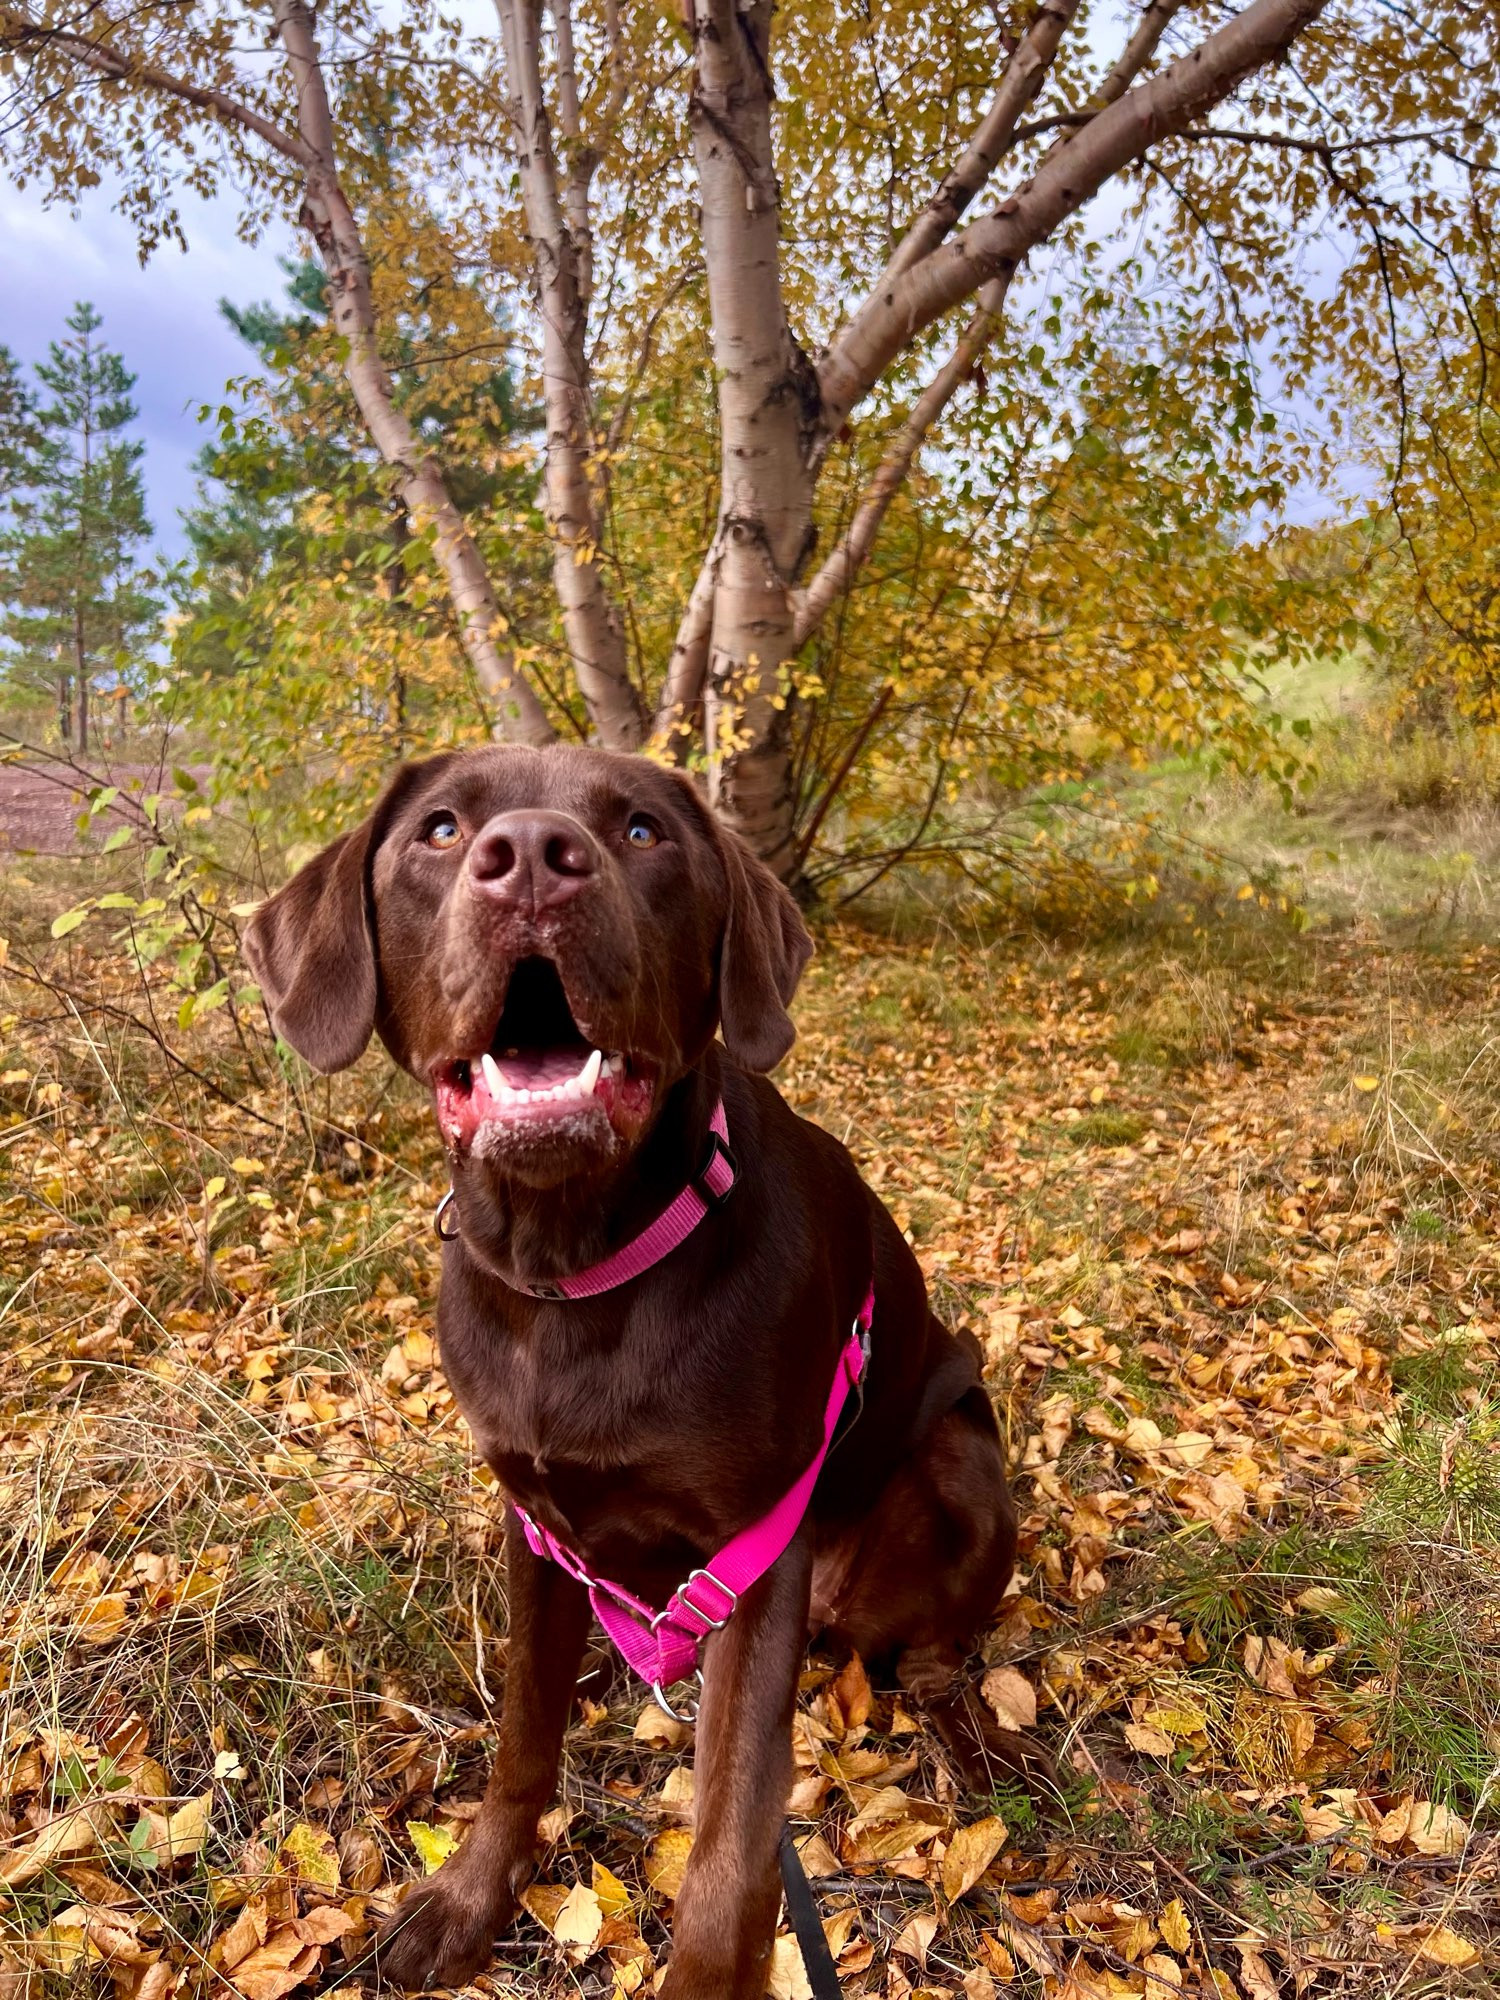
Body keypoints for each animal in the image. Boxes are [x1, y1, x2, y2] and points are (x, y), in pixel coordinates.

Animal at [250, 744, 1048, 1992]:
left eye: (640, 830)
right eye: (441, 829)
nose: (533, 856)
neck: (572, 1273)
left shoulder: (754, 1556)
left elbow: (729, 1842)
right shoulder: (534, 1519)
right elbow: (523, 1736)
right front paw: (473, 1896)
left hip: (961, 1455)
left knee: (936, 1649)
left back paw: (970, 1734)